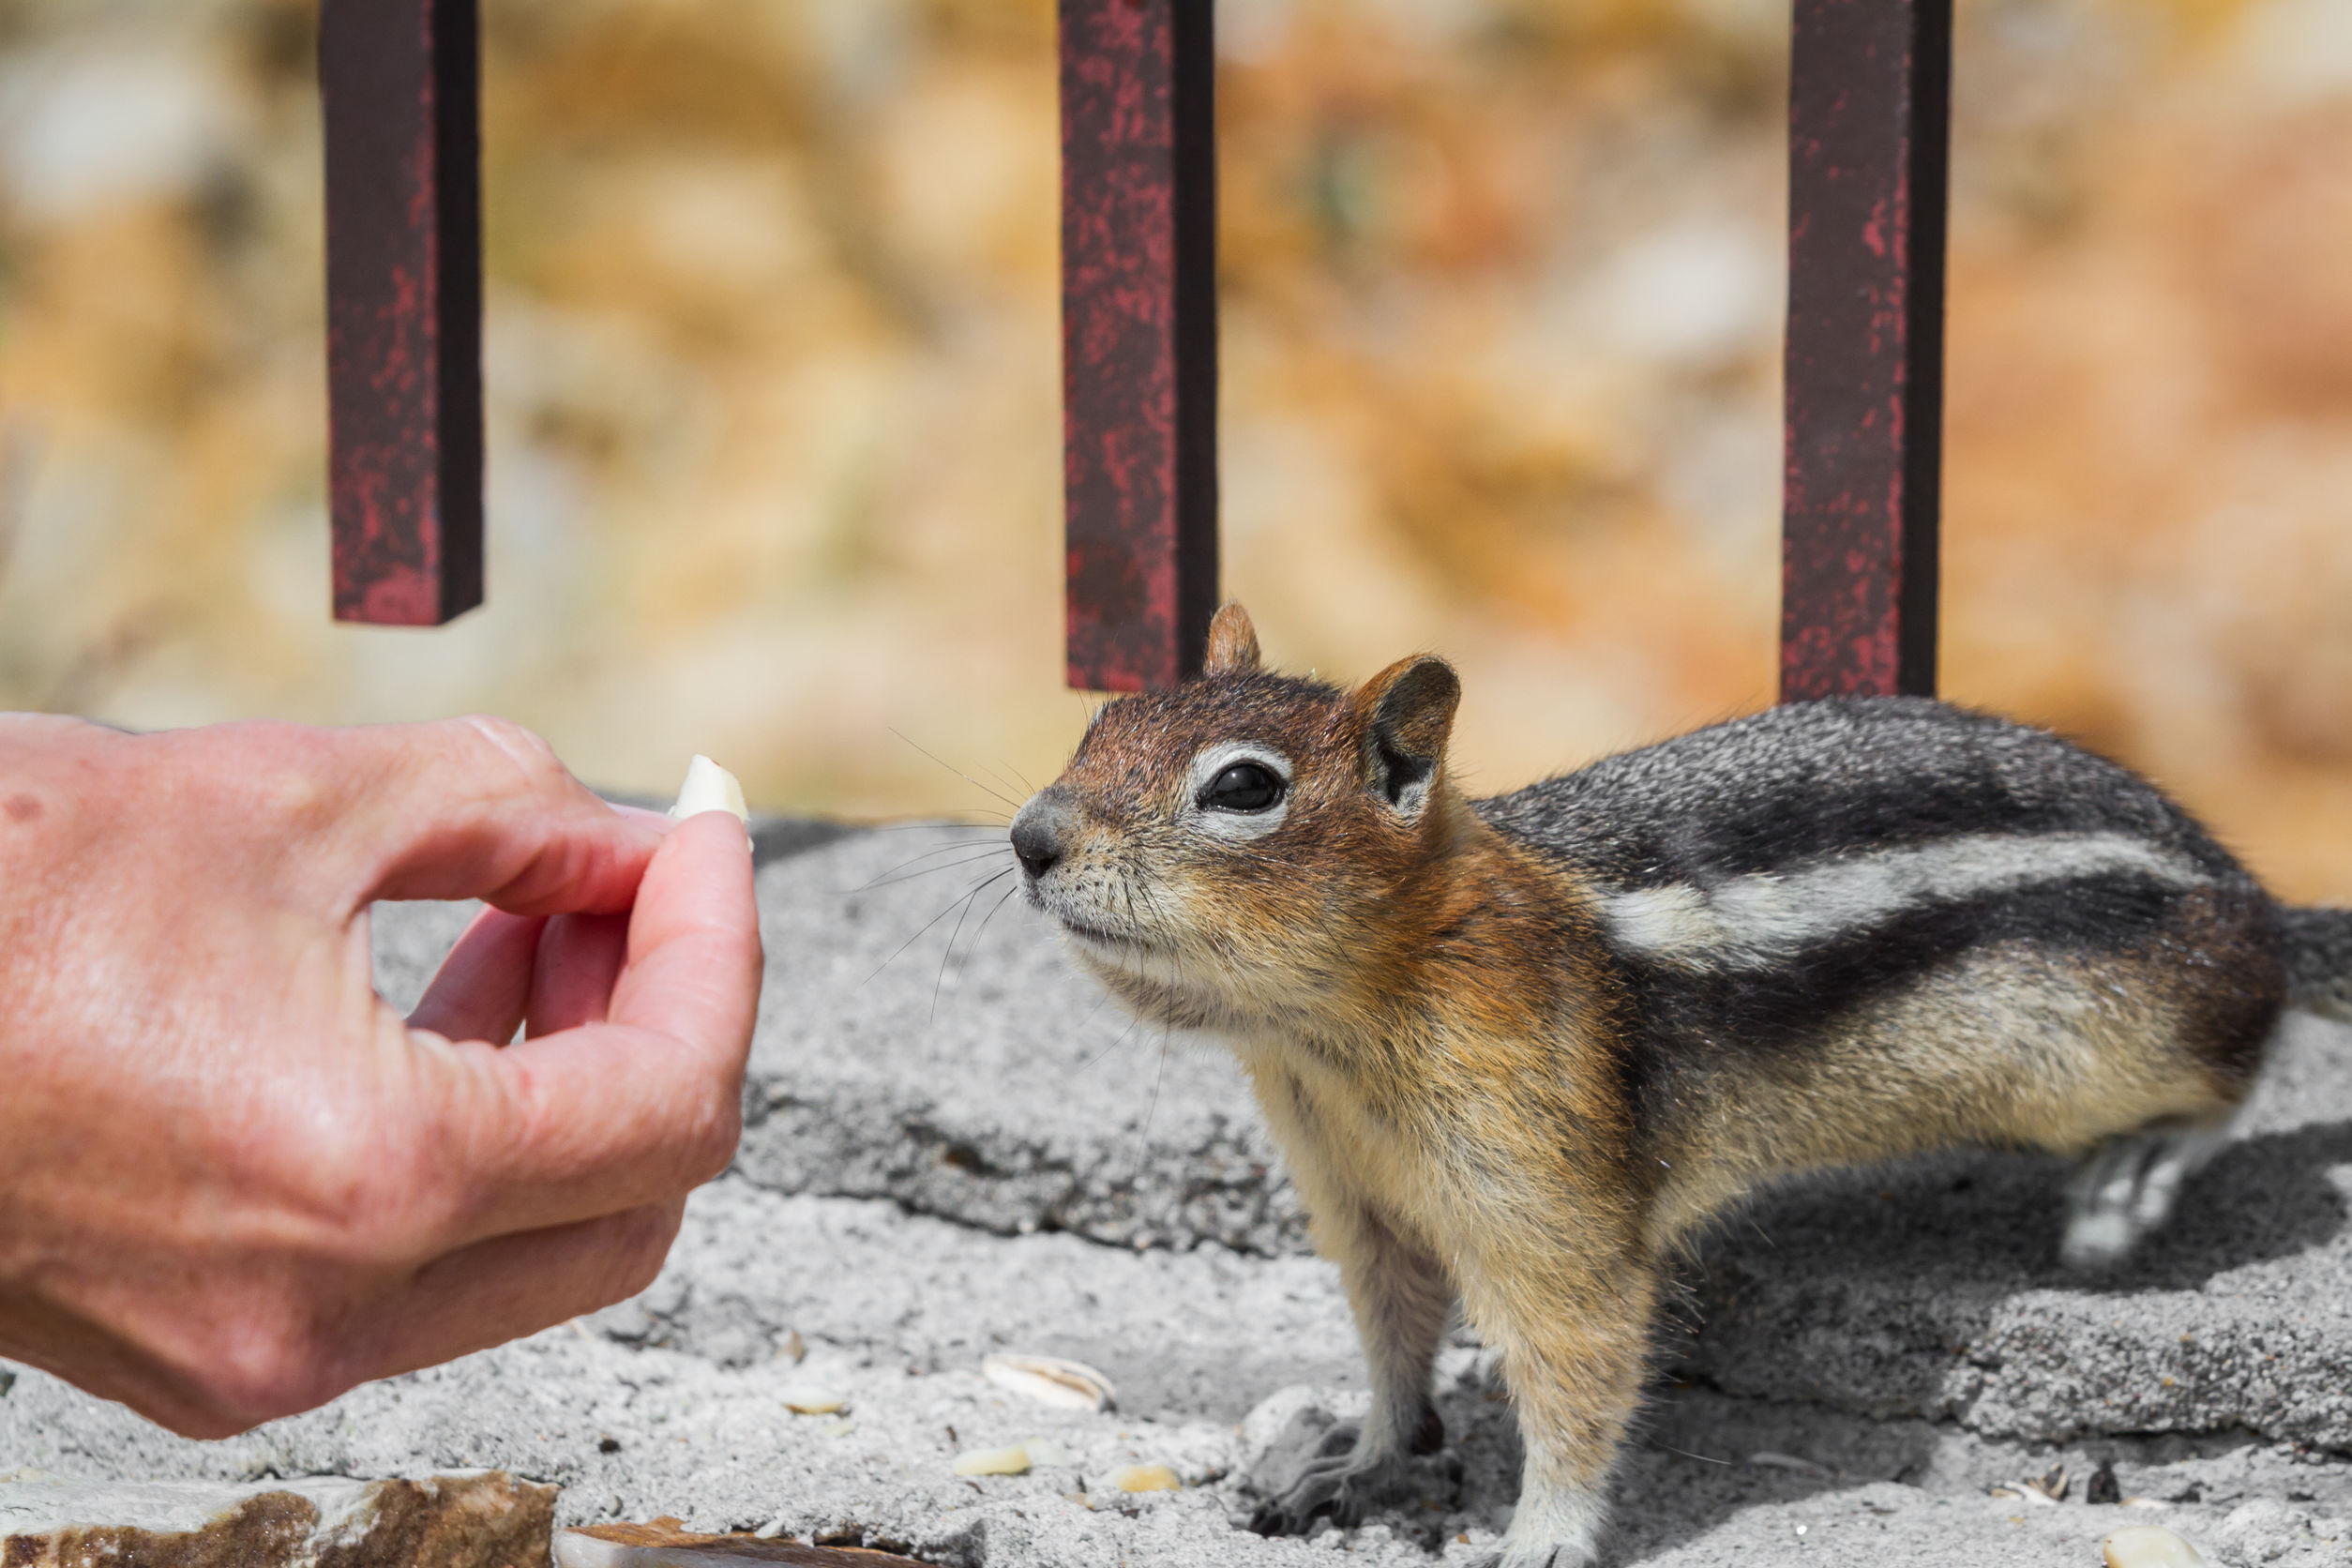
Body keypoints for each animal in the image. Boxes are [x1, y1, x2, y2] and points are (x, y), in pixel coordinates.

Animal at [1006, 606, 2332, 1568]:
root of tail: (2253, 901)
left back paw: (2136, 1174)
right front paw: (1359, 1457)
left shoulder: (1548, 1204)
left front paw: (1541, 1538)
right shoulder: (1361, 1196)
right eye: (1105, 716)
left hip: (2113, 1047)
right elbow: (1393, 1333)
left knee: (2239, 1068)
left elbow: (1578, 1368)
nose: (1029, 837)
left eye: (1243, 788)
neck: (1342, 1022)